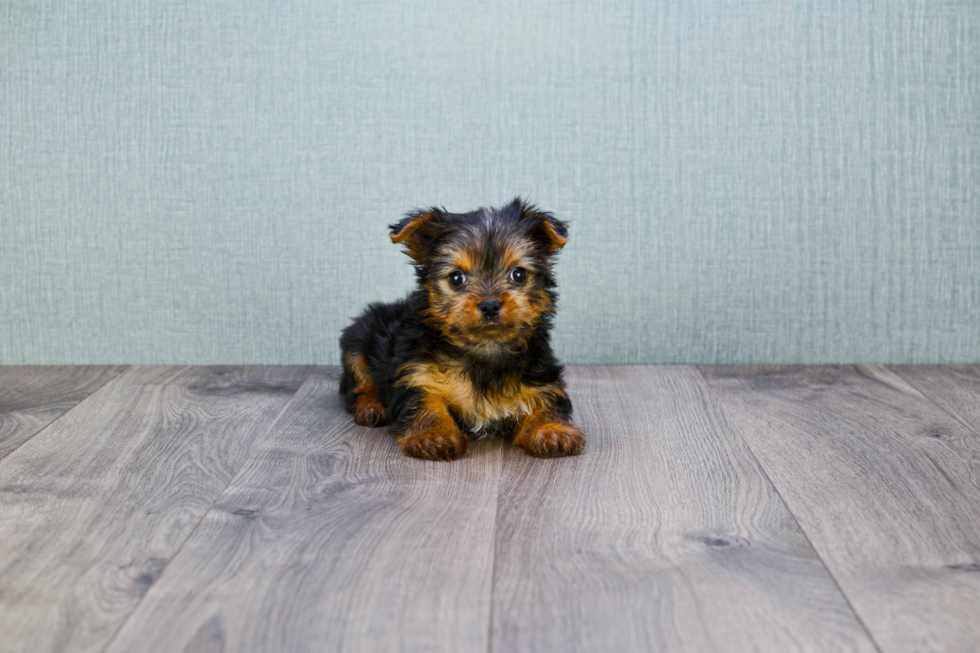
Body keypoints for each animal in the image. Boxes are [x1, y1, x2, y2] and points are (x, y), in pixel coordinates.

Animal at [338, 197, 580, 458]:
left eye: (518, 274)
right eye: (456, 278)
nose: (490, 304)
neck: (485, 351)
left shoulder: (541, 376)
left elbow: (546, 400)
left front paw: (551, 430)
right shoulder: (417, 373)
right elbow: (423, 400)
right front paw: (433, 435)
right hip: (357, 342)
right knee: (360, 385)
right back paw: (370, 406)